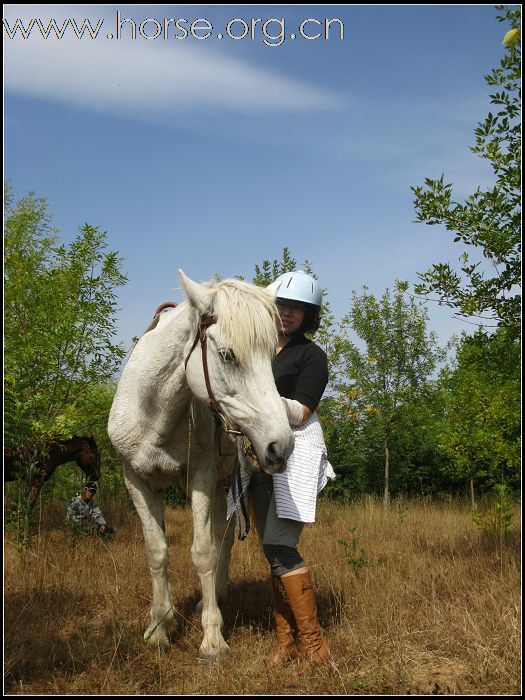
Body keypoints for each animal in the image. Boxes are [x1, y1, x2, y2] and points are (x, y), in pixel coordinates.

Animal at [108, 270, 292, 660]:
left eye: (270, 355)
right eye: (227, 355)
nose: (280, 446)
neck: (153, 412)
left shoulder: (201, 479)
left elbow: (204, 552)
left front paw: (212, 638)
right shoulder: (136, 480)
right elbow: (157, 551)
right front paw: (159, 627)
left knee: (222, 540)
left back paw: (216, 601)